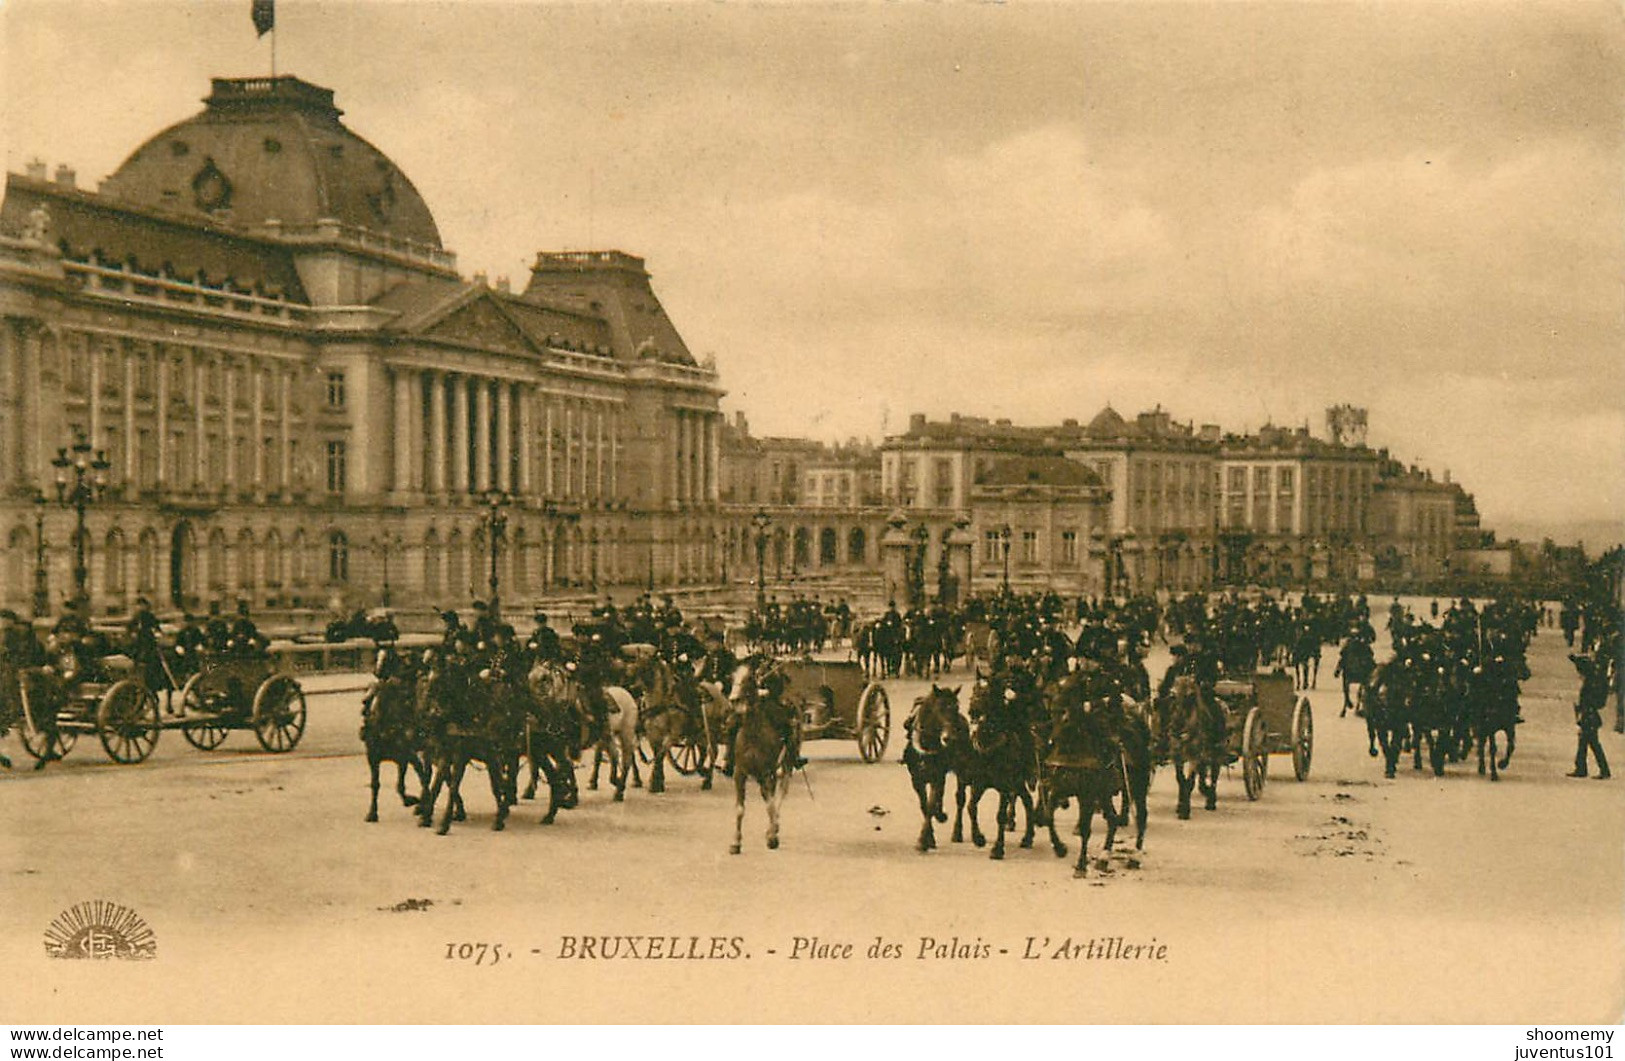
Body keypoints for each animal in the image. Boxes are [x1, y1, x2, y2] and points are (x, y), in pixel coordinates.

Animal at [360, 646, 425, 818]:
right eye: (378, 657)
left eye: (389, 658)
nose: (378, 671)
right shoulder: (373, 757)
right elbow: (376, 784)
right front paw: (372, 812)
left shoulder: (406, 756)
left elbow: (406, 782)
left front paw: (414, 801)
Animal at [724, 653, 799, 851]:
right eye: (732, 678)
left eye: (749, 678)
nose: (733, 699)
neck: (753, 733)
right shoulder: (739, 773)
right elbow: (740, 809)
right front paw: (735, 842)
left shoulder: (767, 772)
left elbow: (771, 805)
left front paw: (772, 837)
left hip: (785, 765)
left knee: (780, 793)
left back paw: (775, 826)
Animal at [903, 685, 962, 851]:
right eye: (940, 708)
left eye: (956, 707)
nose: (950, 737)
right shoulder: (916, 780)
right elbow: (924, 806)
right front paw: (929, 838)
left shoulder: (937, 776)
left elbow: (930, 805)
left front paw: (923, 841)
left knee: (958, 798)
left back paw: (954, 829)